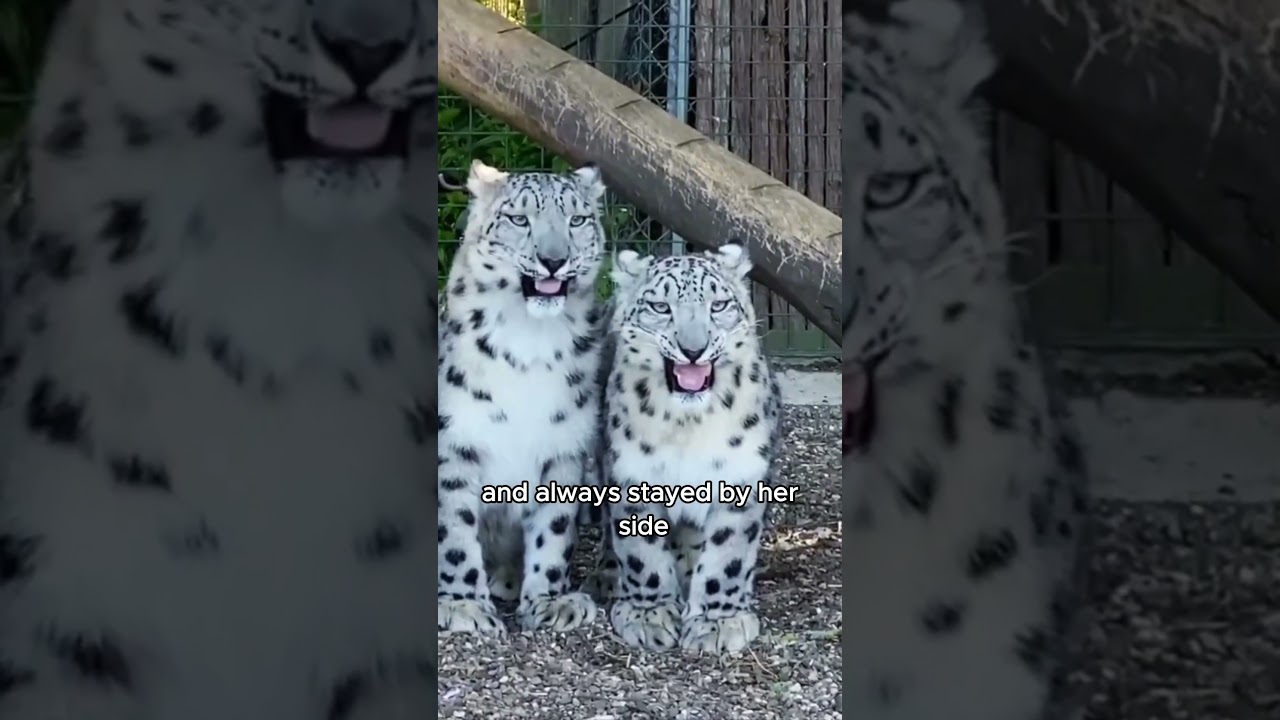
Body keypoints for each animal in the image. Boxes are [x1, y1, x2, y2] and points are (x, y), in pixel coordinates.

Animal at [436, 159, 608, 636]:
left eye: (577, 220)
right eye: (519, 219)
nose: (553, 260)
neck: (530, 342)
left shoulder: (564, 445)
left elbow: (553, 529)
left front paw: (550, 600)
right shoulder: (454, 442)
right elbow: (455, 529)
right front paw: (464, 605)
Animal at [596, 242, 784, 655]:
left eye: (718, 304)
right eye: (660, 306)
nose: (693, 350)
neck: (687, 426)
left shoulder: (739, 473)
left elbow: (728, 554)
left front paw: (718, 622)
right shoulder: (633, 472)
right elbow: (641, 553)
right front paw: (648, 615)